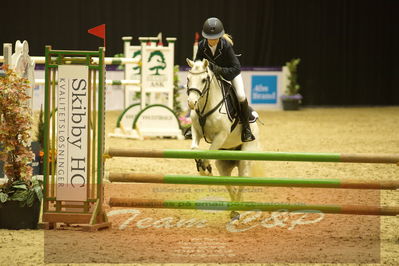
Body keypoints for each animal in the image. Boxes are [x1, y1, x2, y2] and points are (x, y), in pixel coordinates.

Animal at [186, 58, 260, 220]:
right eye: (188, 79)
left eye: (203, 79)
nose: (191, 103)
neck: (206, 106)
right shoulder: (196, 131)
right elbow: (194, 149)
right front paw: (203, 169)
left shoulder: (221, 136)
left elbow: (209, 153)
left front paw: (206, 169)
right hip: (223, 164)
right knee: (229, 183)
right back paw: (233, 210)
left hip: (245, 159)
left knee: (242, 182)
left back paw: (238, 209)